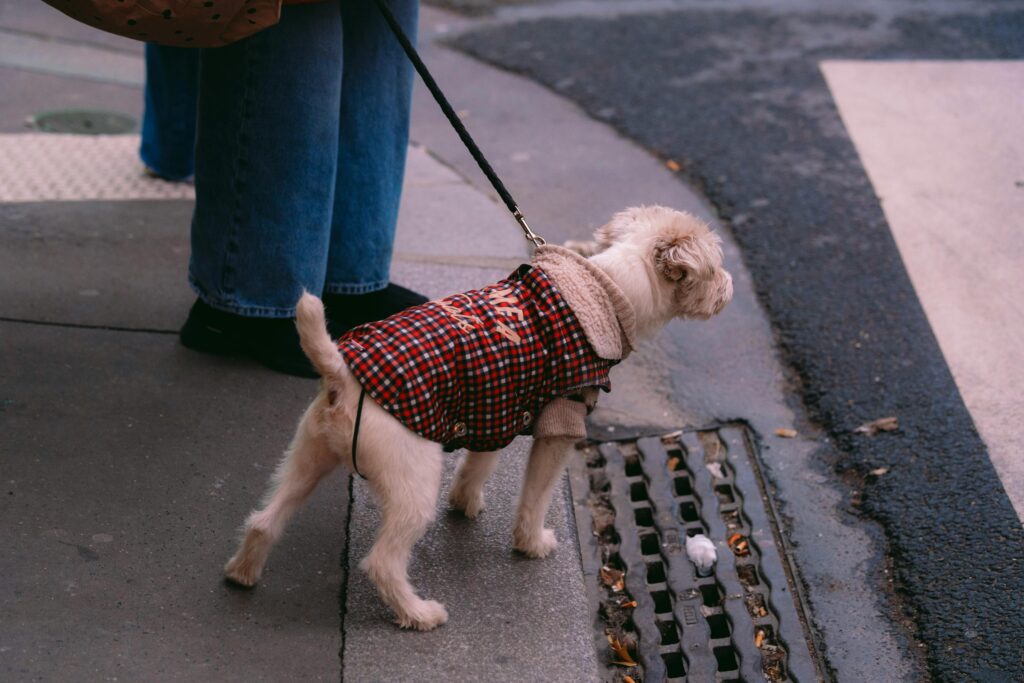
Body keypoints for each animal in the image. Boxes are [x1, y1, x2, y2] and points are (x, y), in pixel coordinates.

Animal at [225, 206, 737, 630]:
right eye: (715, 266)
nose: (730, 287)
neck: (613, 288)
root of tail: (342, 376)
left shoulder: (495, 406)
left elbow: (477, 465)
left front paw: (466, 502)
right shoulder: (561, 422)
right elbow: (536, 495)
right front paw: (531, 543)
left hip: (307, 457)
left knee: (264, 520)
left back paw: (242, 574)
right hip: (412, 484)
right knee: (382, 563)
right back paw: (419, 614)